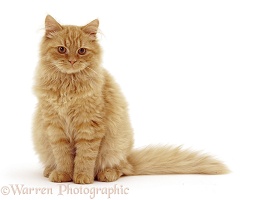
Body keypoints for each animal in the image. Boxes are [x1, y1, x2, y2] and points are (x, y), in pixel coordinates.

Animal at [32, 15, 229, 184]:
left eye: (81, 51)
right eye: (61, 49)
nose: (72, 61)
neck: (68, 85)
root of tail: (129, 160)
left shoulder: (89, 126)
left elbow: (85, 156)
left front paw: (82, 177)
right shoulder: (55, 126)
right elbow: (63, 156)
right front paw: (64, 174)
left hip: (116, 145)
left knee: (121, 169)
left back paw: (107, 173)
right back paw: (50, 170)